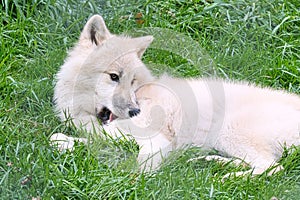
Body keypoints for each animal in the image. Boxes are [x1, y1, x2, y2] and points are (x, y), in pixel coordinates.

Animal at [51, 14, 300, 177]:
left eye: (132, 81)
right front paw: (66, 142)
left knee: (272, 167)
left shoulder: (155, 139)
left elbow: (138, 162)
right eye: (114, 76)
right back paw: (211, 163)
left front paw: (133, 179)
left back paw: (228, 177)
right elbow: (72, 139)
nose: (135, 110)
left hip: (229, 130)